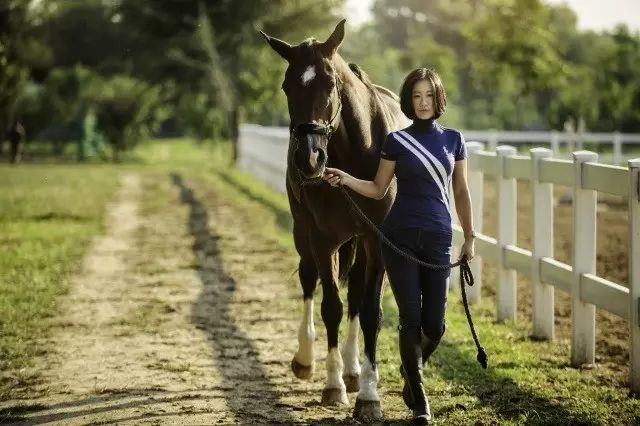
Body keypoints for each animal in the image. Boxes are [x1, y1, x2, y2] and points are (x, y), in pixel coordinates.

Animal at [258, 19, 404, 420]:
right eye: (287, 85)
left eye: (330, 84)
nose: (309, 160)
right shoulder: (323, 238)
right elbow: (331, 307)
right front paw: (333, 385)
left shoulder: (376, 239)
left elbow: (369, 311)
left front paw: (368, 394)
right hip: (305, 232)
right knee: (309, 281)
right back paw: (307, 360)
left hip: (356, 241)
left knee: (355, 294)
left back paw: (355, 371)